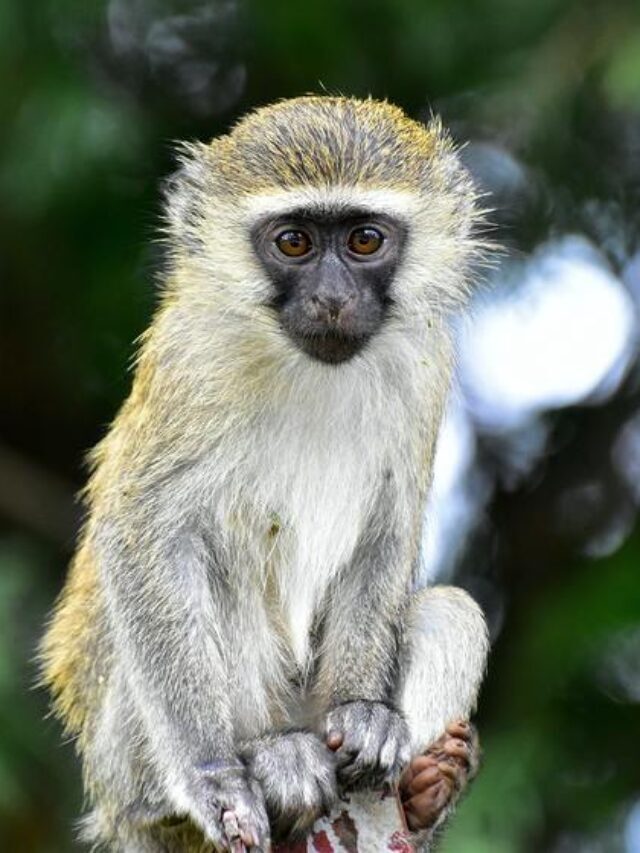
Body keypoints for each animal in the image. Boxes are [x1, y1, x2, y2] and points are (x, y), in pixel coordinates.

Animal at [40, 96, 490, 852]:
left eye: (365, 240)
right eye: (295, 243)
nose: (333, 298)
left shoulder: (426, 363)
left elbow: (389, 527)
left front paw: (363, 711)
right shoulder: (192, 358)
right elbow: (141, 534)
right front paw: (214, 774)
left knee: (452, 610)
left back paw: (424, 791)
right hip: (122, 758)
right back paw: (261, 763)